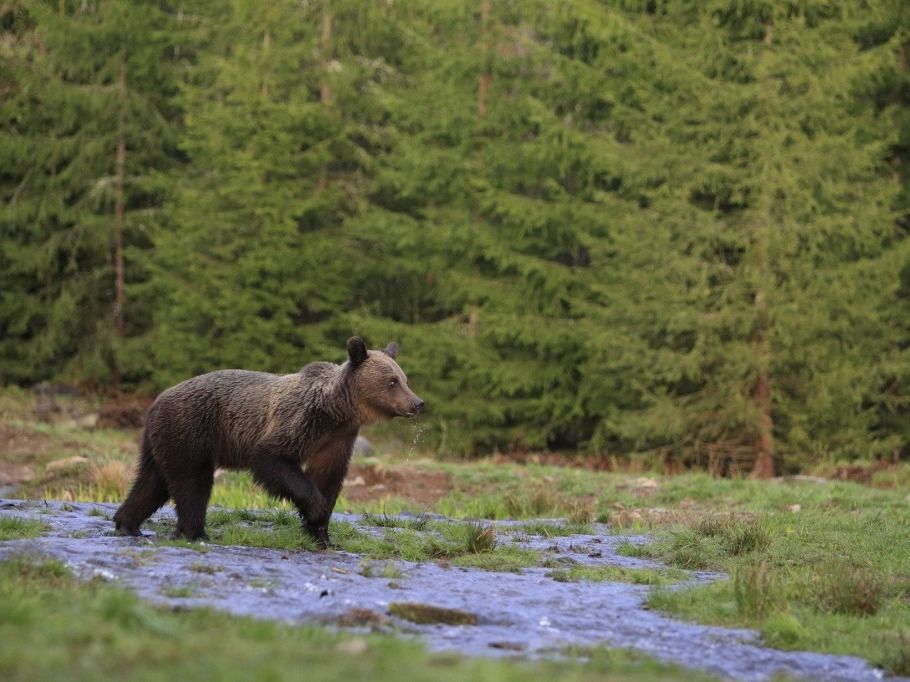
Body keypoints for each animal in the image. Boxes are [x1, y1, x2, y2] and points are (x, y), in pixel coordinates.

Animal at [113, 336, 424, 548]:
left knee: (153, 482)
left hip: (163, 439)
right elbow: (273, 458)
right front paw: (315, 511)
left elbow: (329, 477)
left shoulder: (338, 438)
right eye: (392, 381)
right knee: (192, 483)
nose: (417, 403)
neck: (338, 411)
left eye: (405, 379)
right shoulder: (300, 420)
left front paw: (323, 535)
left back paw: (127, 523)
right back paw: (195, 532)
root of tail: (156, 401)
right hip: (190, 429)